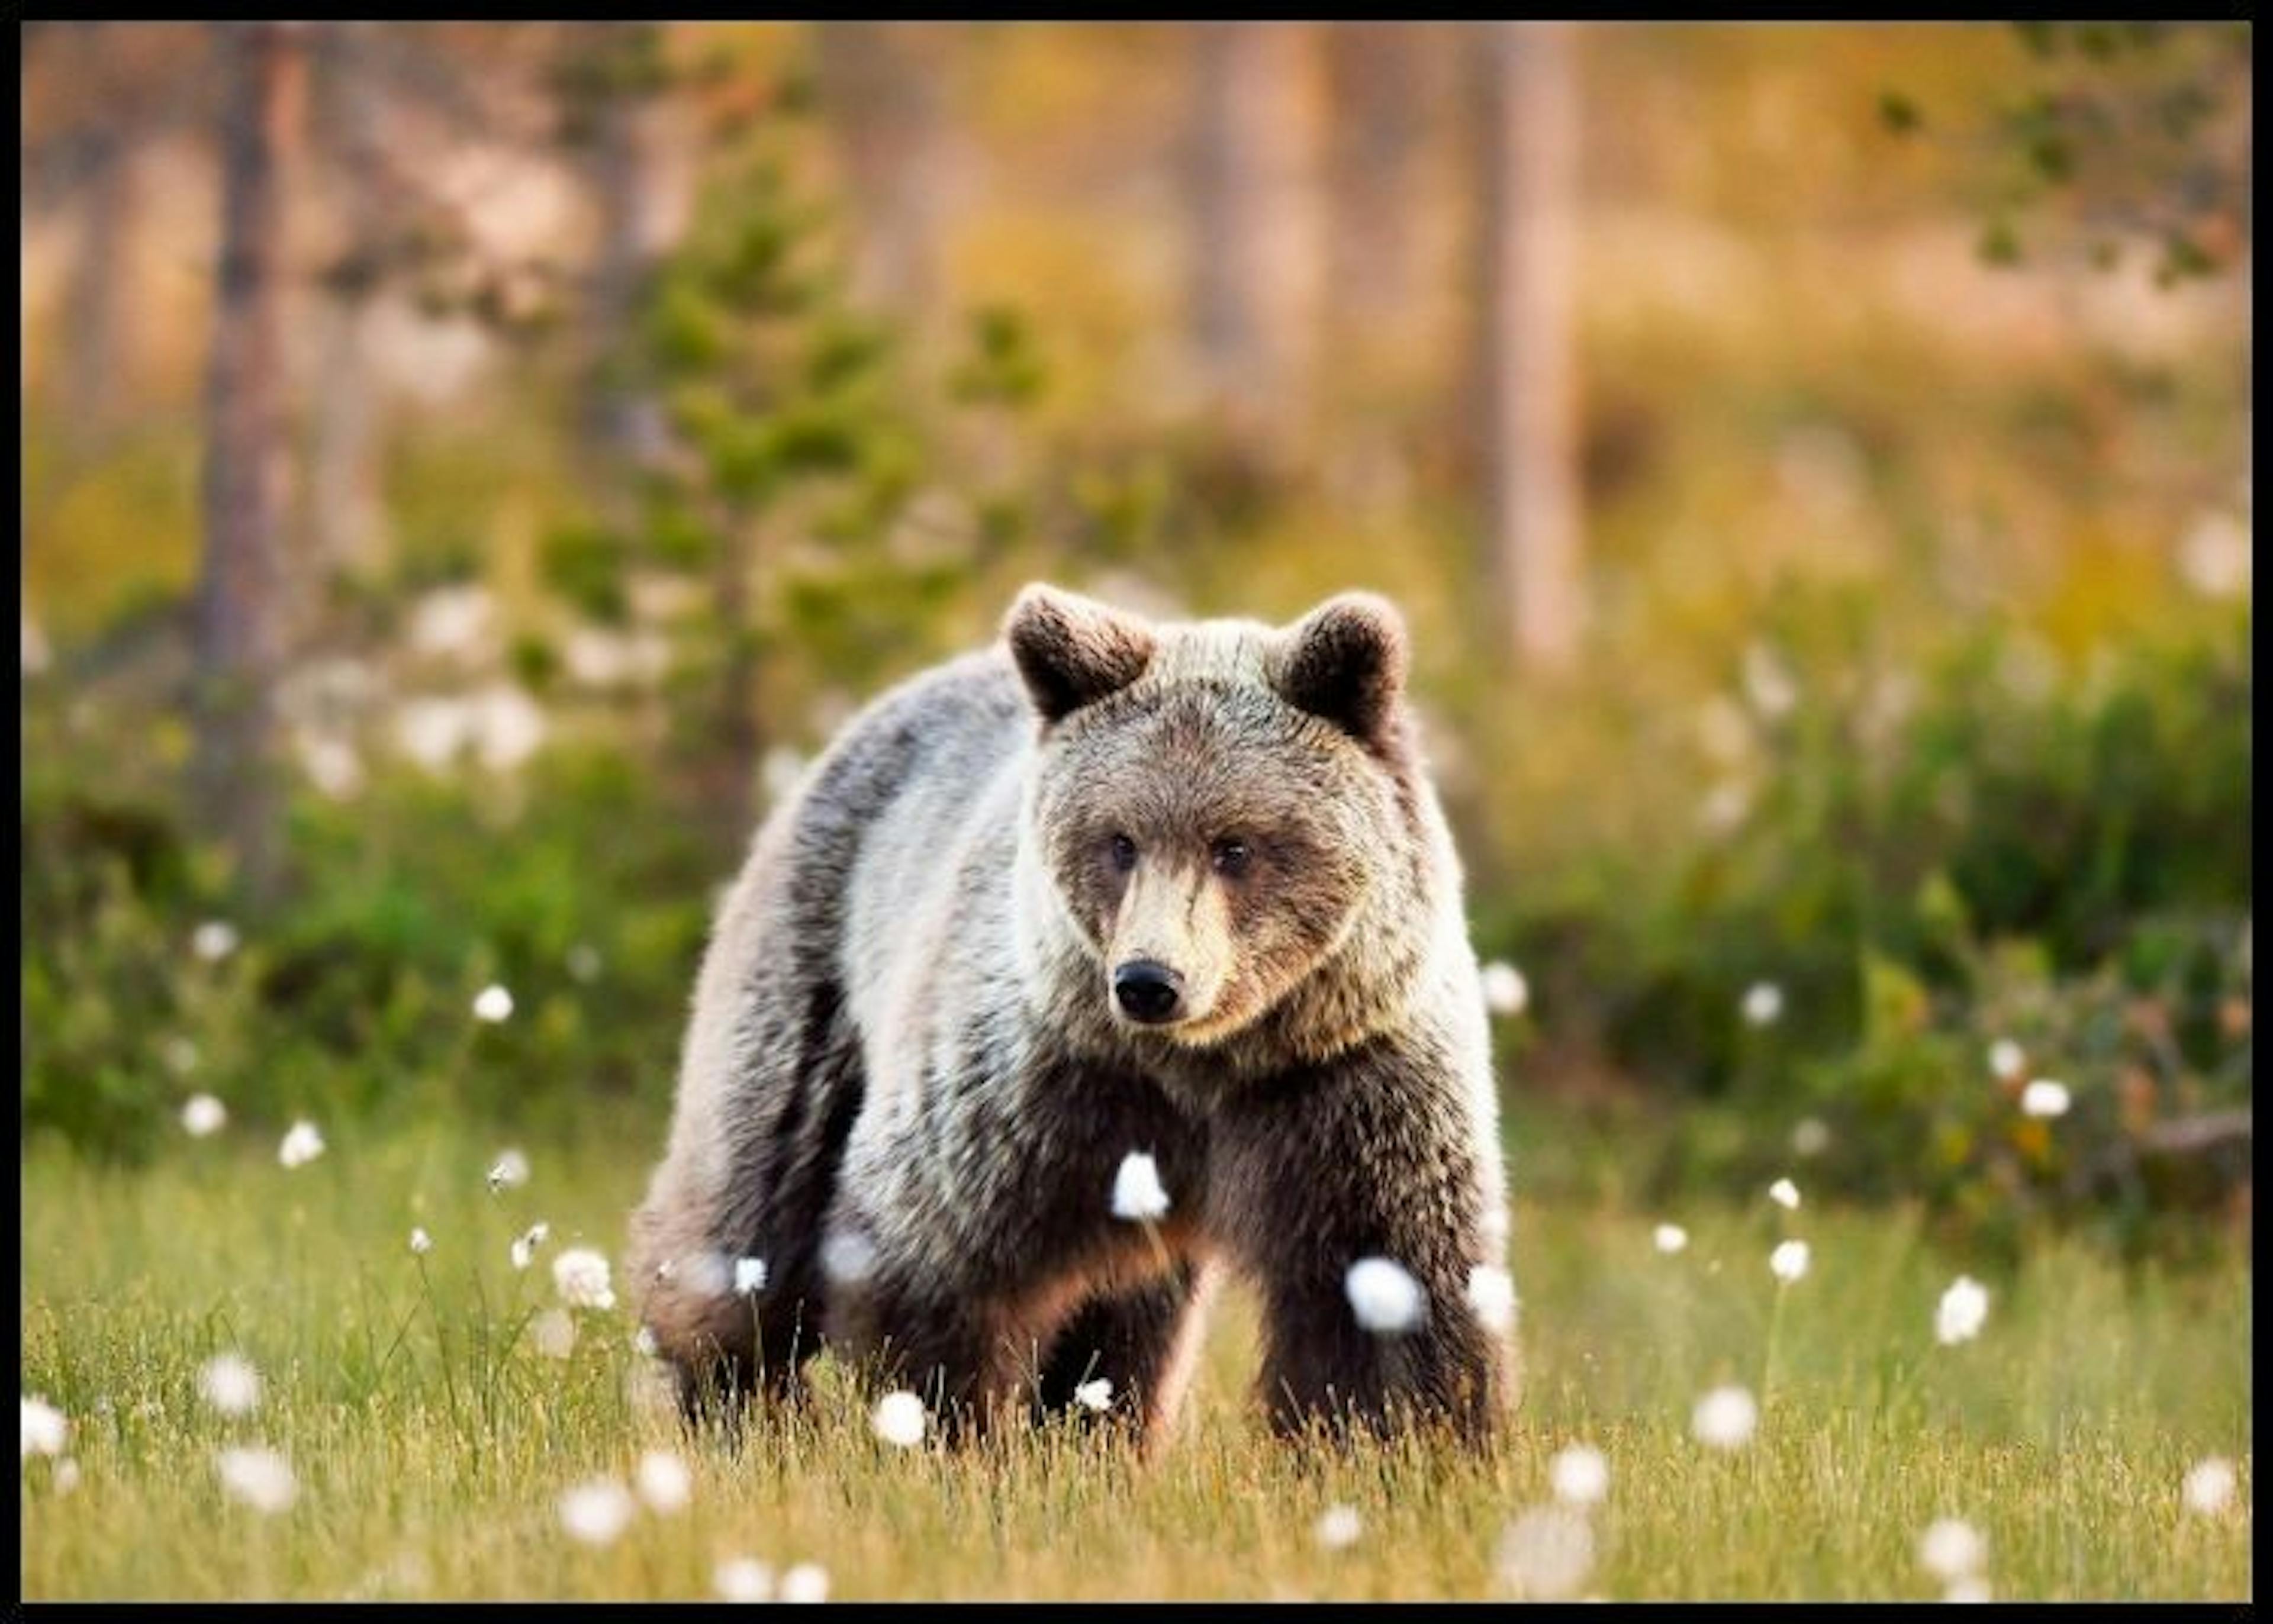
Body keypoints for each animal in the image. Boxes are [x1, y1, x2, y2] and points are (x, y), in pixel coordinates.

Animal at [627, 586, 1509, 1444]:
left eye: (1236, 845)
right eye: (1119, 840)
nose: (1149, 981)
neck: (1205, 1063)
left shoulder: (1344, 1083)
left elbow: (1387, 1291)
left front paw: (1400, 1443)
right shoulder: (1041, 1086)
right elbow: (933, 1255)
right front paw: (957, 1433)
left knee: (1132, 1321)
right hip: (813, 976)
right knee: (752, 1207)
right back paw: (746, 1404)